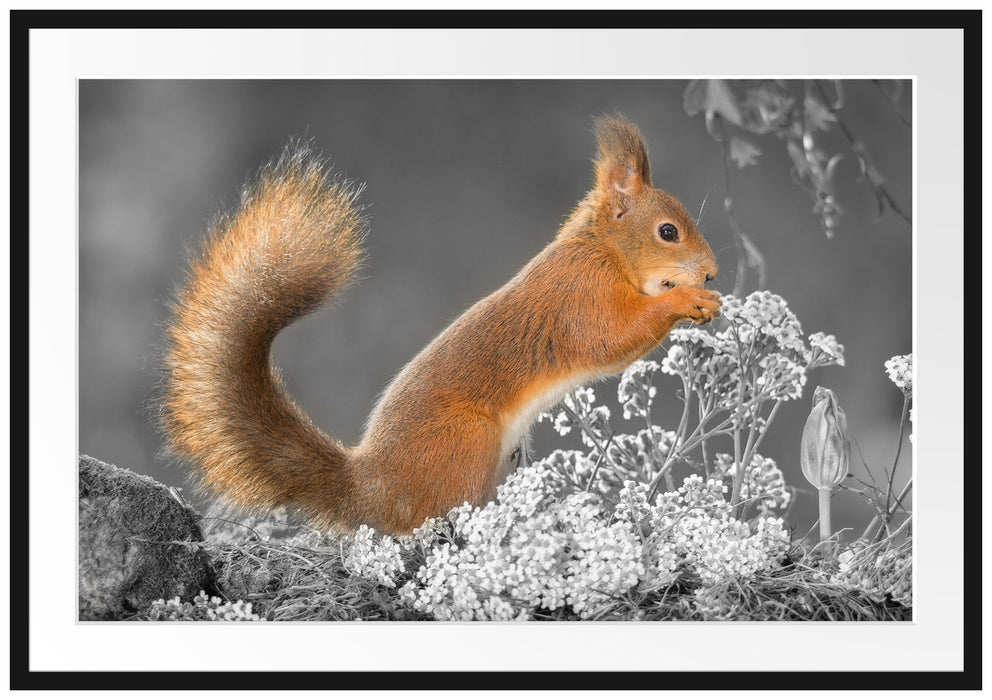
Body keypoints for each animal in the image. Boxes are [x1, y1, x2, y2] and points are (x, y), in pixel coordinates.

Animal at [161, 116, 721, 536]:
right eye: (667, 232)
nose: (713, 272)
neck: (603, 250)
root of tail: (369, 490)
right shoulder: (580, 298)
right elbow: (611, 338)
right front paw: (689, 300)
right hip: (464, 444)